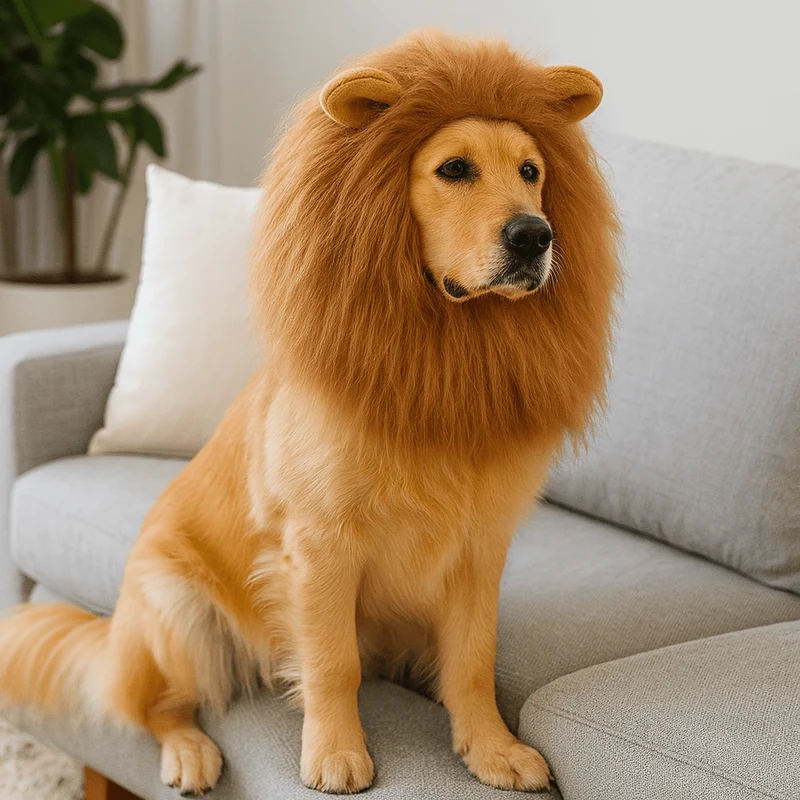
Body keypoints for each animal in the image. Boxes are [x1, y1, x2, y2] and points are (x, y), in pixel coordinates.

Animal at [0, 30, 620, 796]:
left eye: (532, 170)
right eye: (454, 168)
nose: (535, 236)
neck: (445, 351)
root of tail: (115, 632)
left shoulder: (480, 550)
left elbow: (472, 663)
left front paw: (491, 747)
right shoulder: (322, 545)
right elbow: (332, 664)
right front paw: (335, 752)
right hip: (179, 612)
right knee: (157, 707)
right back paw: (190, 754)